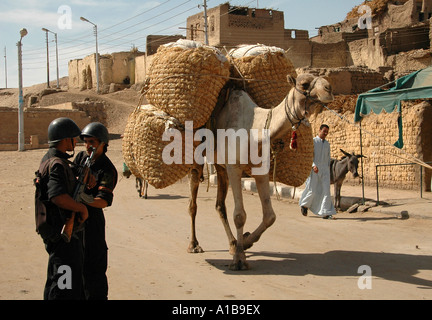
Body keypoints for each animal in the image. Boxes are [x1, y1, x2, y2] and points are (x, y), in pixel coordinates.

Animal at [187, 73, 332, 270]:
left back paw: (232, 244)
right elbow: (239, 215)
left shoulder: (260, 169)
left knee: (219, 205)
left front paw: (246, 241)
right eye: (304, 84)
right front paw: (239, 260)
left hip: (220, 165)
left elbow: (270, 216)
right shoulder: (234, 167)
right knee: (193, 202)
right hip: (198, 159)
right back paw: (194, 245)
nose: (329, 89)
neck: (254, 129)